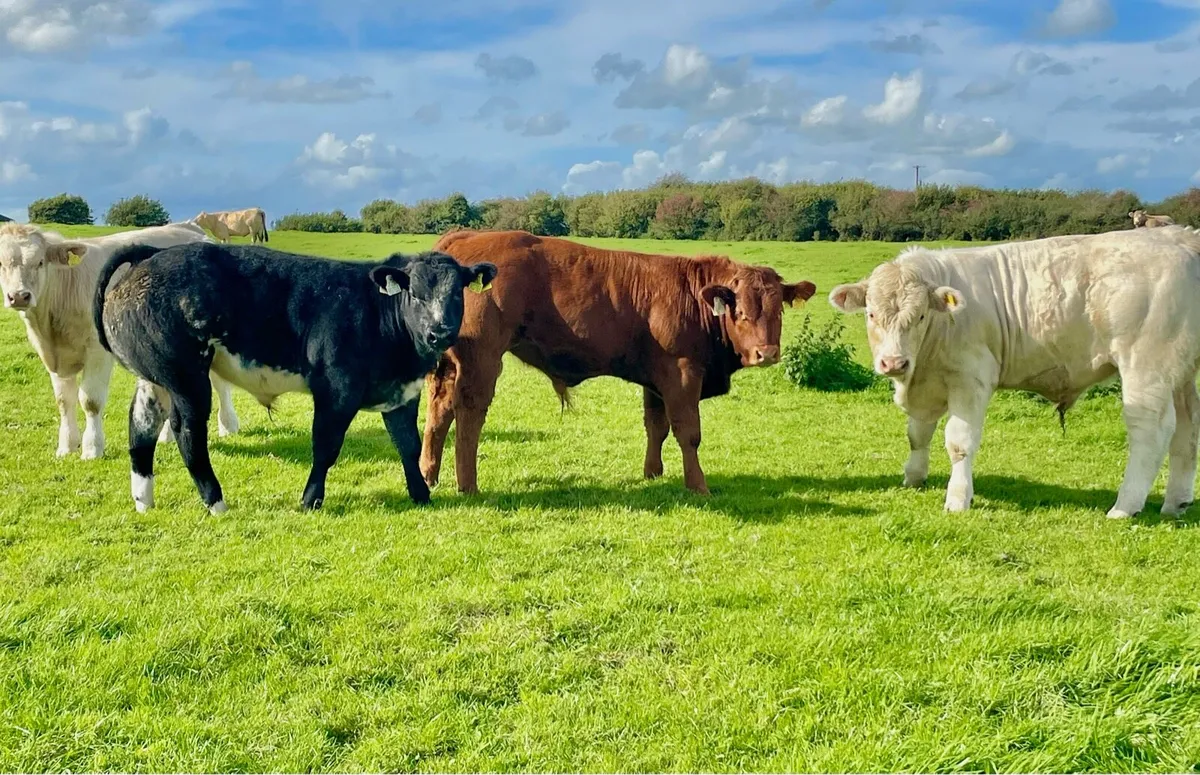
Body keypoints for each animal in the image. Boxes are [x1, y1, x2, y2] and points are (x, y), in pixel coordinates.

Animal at [0, 222, 240, 459]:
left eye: (40, 262)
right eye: (1, 264)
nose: (19, 296)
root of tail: (192, 228)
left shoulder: (97, 352)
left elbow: (90, 400)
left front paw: (92, 448)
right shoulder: (54, 356)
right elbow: (63, 400)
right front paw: (67, 446)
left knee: (220, 384)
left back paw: (228, 425)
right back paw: (167, 435)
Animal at [94, 241, 496, 514]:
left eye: (457, 293)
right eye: (415, 293)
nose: (439, 332)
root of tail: (153, 254)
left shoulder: (400, 393)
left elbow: (408, 444)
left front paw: (421, 494)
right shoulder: (336, 391)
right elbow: (326, 446)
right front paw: (310, 499)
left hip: (156, 378)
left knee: (142, 425)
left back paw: (144, 499)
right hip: (187, 378)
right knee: (187, 431)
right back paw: (216, 502)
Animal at [419, 229, 817, 495]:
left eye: (778, 309)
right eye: (741, 311)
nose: (766, 353)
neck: (693, 298)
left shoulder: (657, 379)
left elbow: (656, 426)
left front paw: (653, 473)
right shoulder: (683, 372)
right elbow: (688, 432)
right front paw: (697, 485)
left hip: (448, 365)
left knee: (439, 410)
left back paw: (429, 475)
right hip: (482, 359)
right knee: (469, 414)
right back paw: (467, 485)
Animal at [828, 225, 1200, 519]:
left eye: (920, 316)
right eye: (871, 314)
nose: (894, 363)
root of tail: (1178, 236)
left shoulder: (971, 379)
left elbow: (958, 442)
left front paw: (958, 498)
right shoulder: (926, 384)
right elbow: (918, 435)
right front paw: (914, 478)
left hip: (1145, 366)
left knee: (1151, 430)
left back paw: (1125, 506)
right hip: (1181, 373)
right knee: (1187, 430)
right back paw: (1175, 504)